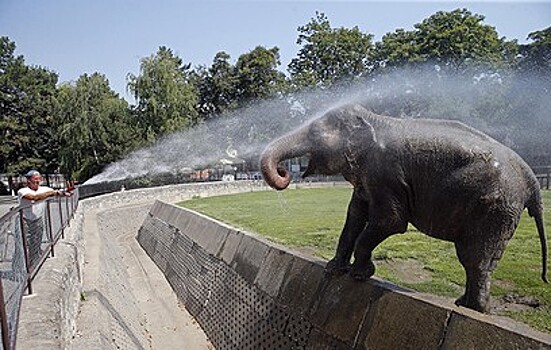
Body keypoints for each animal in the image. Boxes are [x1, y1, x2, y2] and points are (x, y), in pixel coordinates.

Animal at [260, 102, 548, 312]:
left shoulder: (385, 174)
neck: (373, 119)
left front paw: (361, 273)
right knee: (476, 259)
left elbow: (391, 221)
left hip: (495, 207)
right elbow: (354, 216)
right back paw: (464, 304)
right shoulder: (368, 178)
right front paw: (334, 269)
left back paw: (471, 308)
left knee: (474, 257)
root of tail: (530, 178)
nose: (286, 171)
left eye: (314, 134)